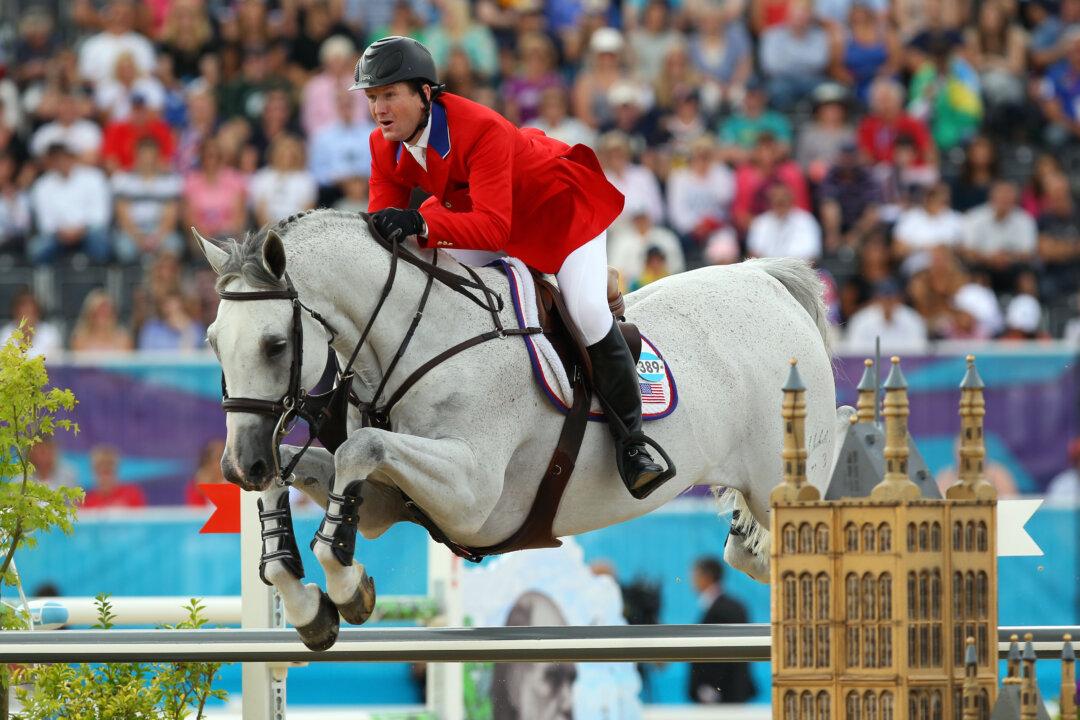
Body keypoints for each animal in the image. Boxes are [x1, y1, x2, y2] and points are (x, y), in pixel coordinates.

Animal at [195, 209, 839, 650]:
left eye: (275, 345)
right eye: (213, 341)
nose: (240, 465)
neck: (417, 341)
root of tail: (767, 280)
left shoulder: (473, 497)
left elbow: (360, 446)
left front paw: (348, 590)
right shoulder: (385, 501)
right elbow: (312, 473)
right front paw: (308, 603)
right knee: (748, 554)